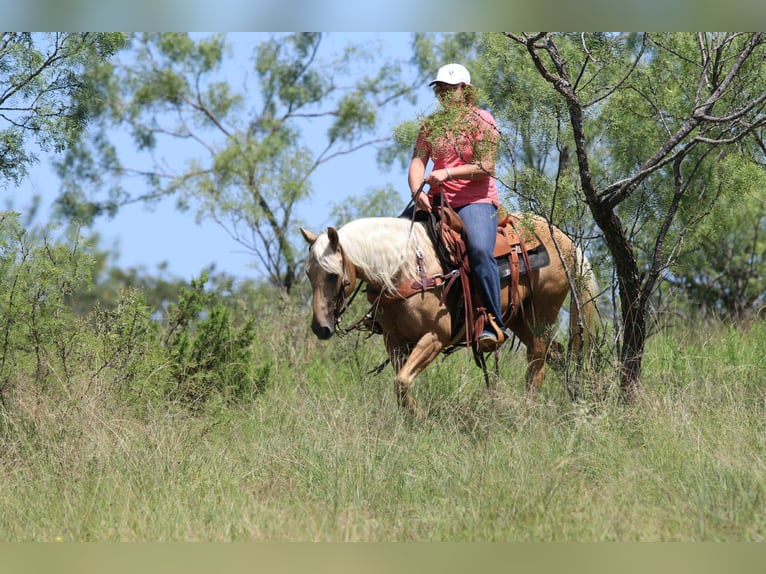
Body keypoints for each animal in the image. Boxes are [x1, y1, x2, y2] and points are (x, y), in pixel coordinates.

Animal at [300, 213, 598, 418]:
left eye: (333, 275)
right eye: (308, 274)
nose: (320, 328)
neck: (404, 270)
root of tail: (564, 239)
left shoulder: (435, 336)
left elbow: (402, 381)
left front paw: (419, 418)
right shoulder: (394, 342)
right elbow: (401, 382)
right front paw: (411, 417)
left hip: (542, 314)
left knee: (537, 360)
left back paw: (527, 410)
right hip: (519, 319)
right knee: (554, 354)